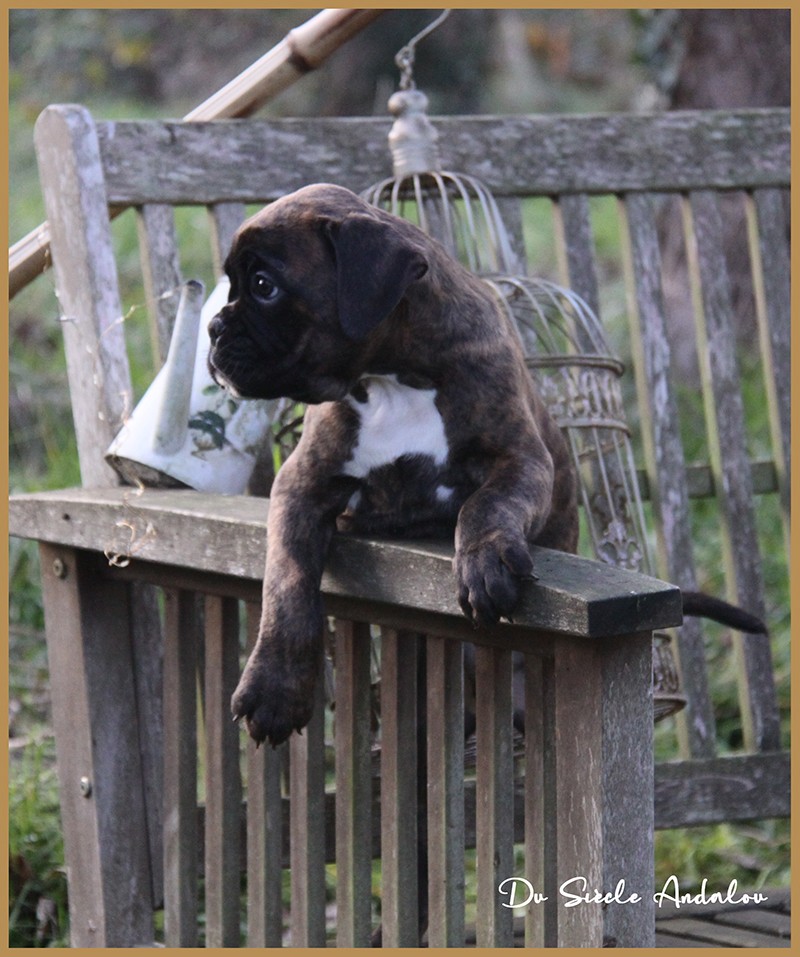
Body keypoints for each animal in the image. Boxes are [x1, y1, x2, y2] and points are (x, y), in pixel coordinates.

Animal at [208, 183, 765, 748]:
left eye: (264, 286)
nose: (212, 328)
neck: (392, 377)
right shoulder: (303, 483)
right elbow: (287, 581)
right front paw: (274, 690)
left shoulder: (521, 460)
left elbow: (486, 504)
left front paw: (484, 562)